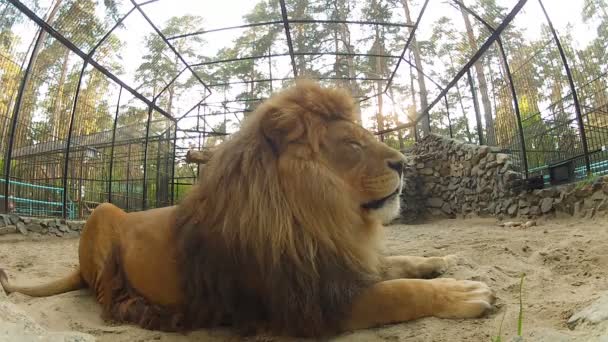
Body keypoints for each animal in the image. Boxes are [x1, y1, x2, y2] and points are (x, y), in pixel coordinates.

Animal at [0, 79, 494, 336]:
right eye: (352, 144)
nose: (404, 163)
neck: (318, 217)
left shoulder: (334, 264)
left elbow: (399, 265)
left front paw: (441, 260)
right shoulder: (303, 305)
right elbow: (397, 292)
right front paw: (467, 293)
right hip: (103, 211)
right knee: (107, 295)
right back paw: (149, 311)